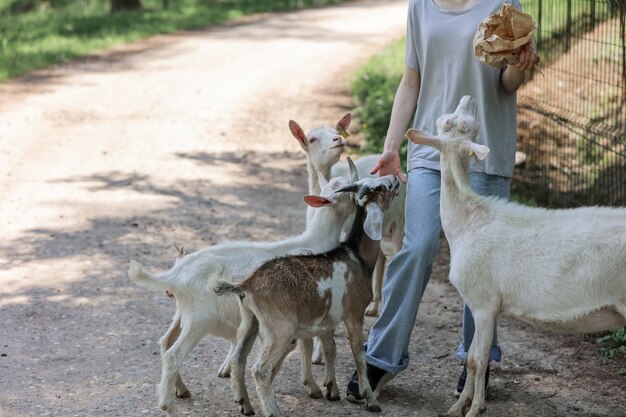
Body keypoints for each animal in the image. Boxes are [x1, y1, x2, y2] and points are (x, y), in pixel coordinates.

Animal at [128, 172, 360, 416]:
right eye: (347, 190)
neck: (314, 242)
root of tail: (174, 274)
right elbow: (317, 346)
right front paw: (321, 388)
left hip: (184, 313)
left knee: (165, 343)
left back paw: (180, 390)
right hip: (199, 319)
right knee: (174, 354)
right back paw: (168, 405)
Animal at [288, 113, 404, 316]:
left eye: (336, 131)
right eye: (312, 139)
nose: (338, 139)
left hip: (400, 216)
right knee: (382, 256)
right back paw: (374, 307)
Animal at [404, 95, 624, 416]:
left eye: (459, 123)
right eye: (447, 120)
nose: (468, 97)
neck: (468, 222)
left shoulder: (484, 302)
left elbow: (478, 360)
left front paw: (474, 409)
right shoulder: (479, 303)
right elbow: (471, 357)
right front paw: (457, 406)